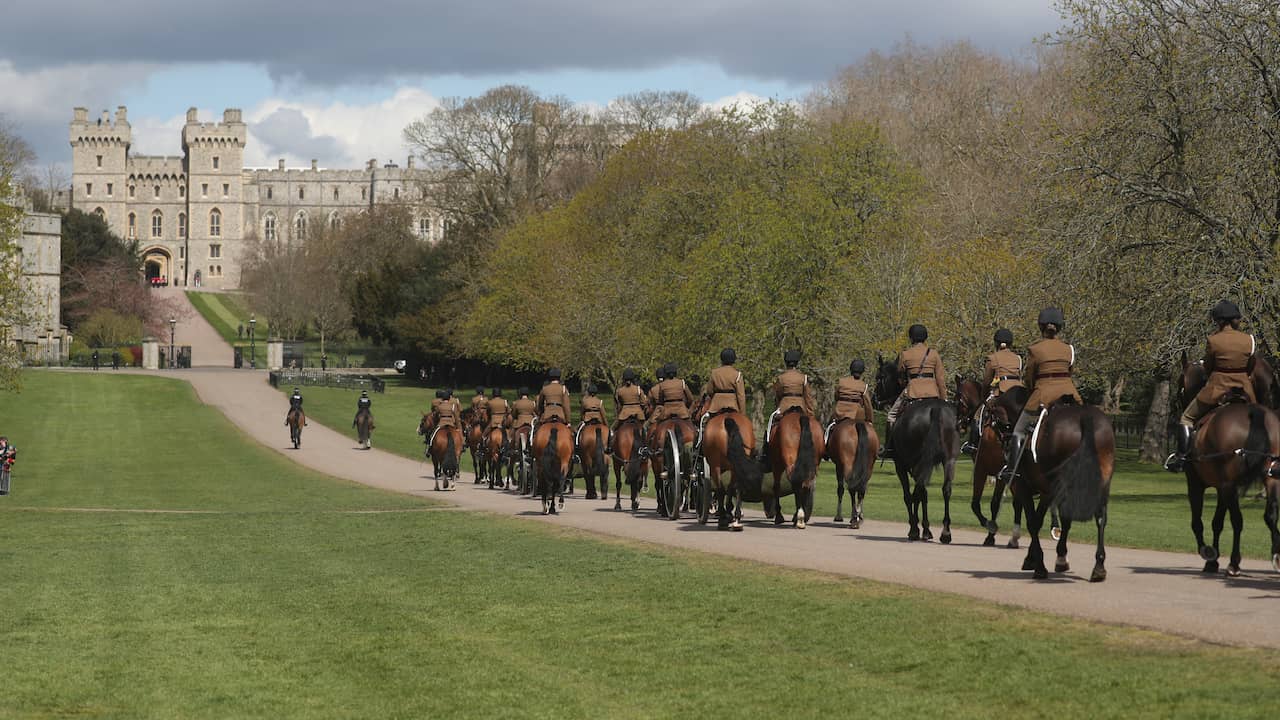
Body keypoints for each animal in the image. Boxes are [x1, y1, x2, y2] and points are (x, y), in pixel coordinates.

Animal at [870, 351, 962, 540]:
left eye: (878, 377)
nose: (874, 400)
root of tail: (936, 409)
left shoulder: (901, 465)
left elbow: (909, 495)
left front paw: (917, 528)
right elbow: (923, 494)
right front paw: (926, 529)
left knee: (917, 491)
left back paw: (916, 529)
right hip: (948, 460)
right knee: (945, 489)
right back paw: (945, 532)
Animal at [957, 376, 1034, 543]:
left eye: (957, 399)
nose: (959, 424)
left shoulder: (981, 470)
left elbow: (977, 504)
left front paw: (989, 527)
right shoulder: (1002, 475)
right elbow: (997, 503)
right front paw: (991, 533)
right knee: (1020, 502)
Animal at [1008, 399, 1111, 579]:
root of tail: (1085, 416)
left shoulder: (1024, 487)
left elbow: (1033, 522)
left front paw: (1038, 565)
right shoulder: (1047, 492)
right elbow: (1047, 521)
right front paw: (1041, 559)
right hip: (1101, 484)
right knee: (1100, 518)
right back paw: (1098, 567)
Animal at [1177, 351, 1280, 573]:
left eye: (1181, 383)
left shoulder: (1196, 483)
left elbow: (1197, 522)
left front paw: (1208, 553)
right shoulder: (1222, 487)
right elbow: (1217, 522)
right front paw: (1213, 560)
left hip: (1230, 485)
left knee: (1238, 520)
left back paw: (1234, 562)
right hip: (1270, 479)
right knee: (1270, 515)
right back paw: (1276, 555)